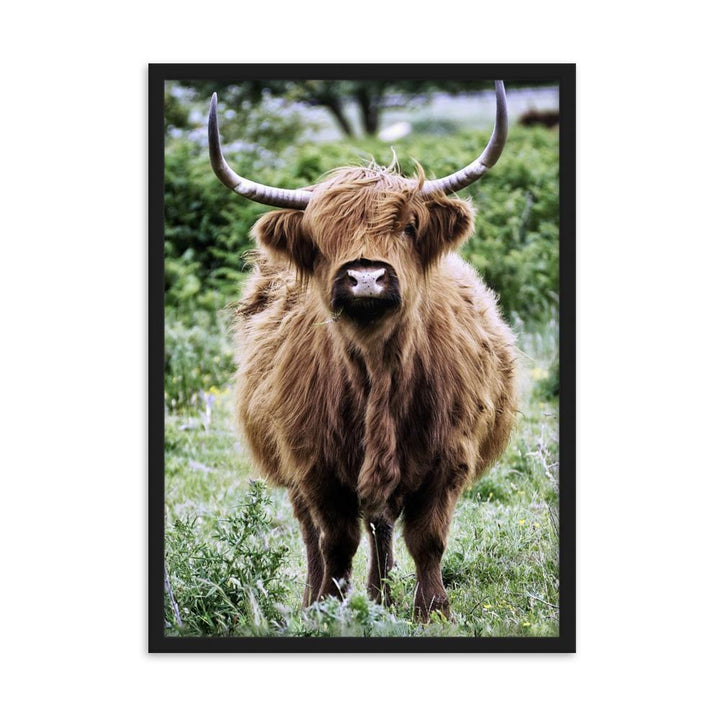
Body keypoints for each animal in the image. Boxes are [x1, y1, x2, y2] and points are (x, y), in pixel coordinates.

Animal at [208, 81, 518, 621]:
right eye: (321, 235)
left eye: (409, 226)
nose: (366, 277)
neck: (378, 370)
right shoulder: (314, 465)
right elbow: (335, 540)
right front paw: (329, 607)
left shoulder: (449, 458)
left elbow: (427, 539)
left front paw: (431, 610)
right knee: (317, 533)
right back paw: (325, 596)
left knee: (382, 523)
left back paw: (381, 594)